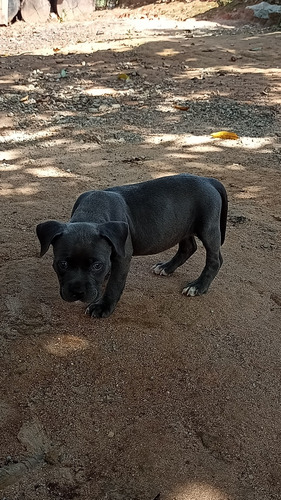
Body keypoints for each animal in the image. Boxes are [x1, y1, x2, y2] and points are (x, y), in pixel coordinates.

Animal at [36, 174, 226, 318]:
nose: (78, 292)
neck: (92, 212)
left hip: (207, 228)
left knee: (215, 259)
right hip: (181, 227)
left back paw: (198, 286)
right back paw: (166, 267)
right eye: (62, 264)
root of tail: (208, 180)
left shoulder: (123, 257)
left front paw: (103, 306)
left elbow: (115, 284)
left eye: (97, 265)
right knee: (188, 247)